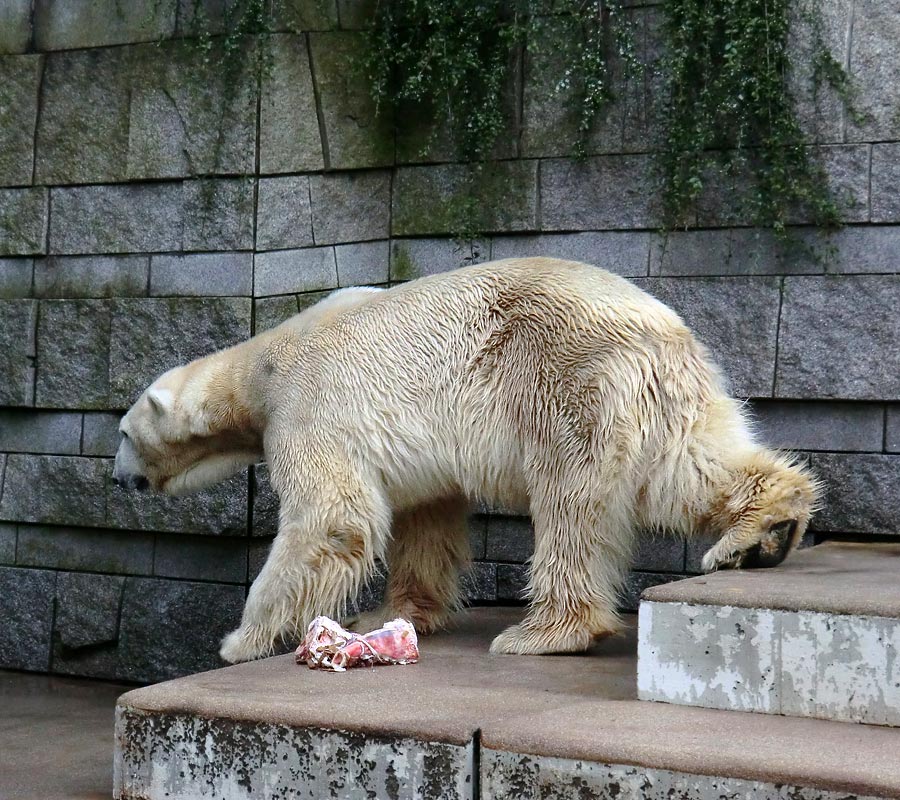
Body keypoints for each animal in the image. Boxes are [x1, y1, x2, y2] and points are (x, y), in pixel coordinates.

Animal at [114, 258, 824, 664]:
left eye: (121, 432)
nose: (118, 477)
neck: (260, 368)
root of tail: (664, 325)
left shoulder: (308, 409)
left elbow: (331, 520)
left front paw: (241, 641)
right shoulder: (415, 449)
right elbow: (425, 517)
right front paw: (387, 616)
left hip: (569, 383)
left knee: (572, 506)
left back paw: (543, 633)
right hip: (660, 394)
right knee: (687, 467)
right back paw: (767, 525)